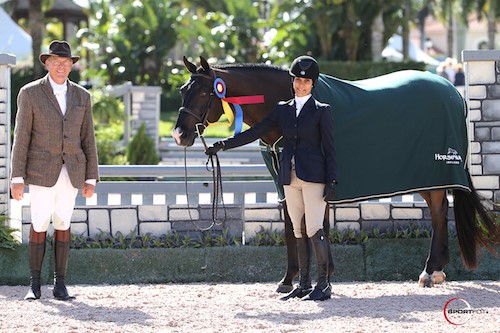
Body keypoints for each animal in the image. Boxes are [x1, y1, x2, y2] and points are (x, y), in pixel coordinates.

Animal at [171, 55, 496, 286]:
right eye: (183, 90)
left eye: (204, 94)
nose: (179, 135)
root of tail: (453, 91)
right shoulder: (286, 185)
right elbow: (294, 228)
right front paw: (290, 280)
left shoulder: (319, 182)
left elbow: (314, 228)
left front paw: (321, 279)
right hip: (427, 178)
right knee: (438, 213)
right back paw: (437, 270)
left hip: (436, 175)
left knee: (440, 215)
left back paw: (430, 272)